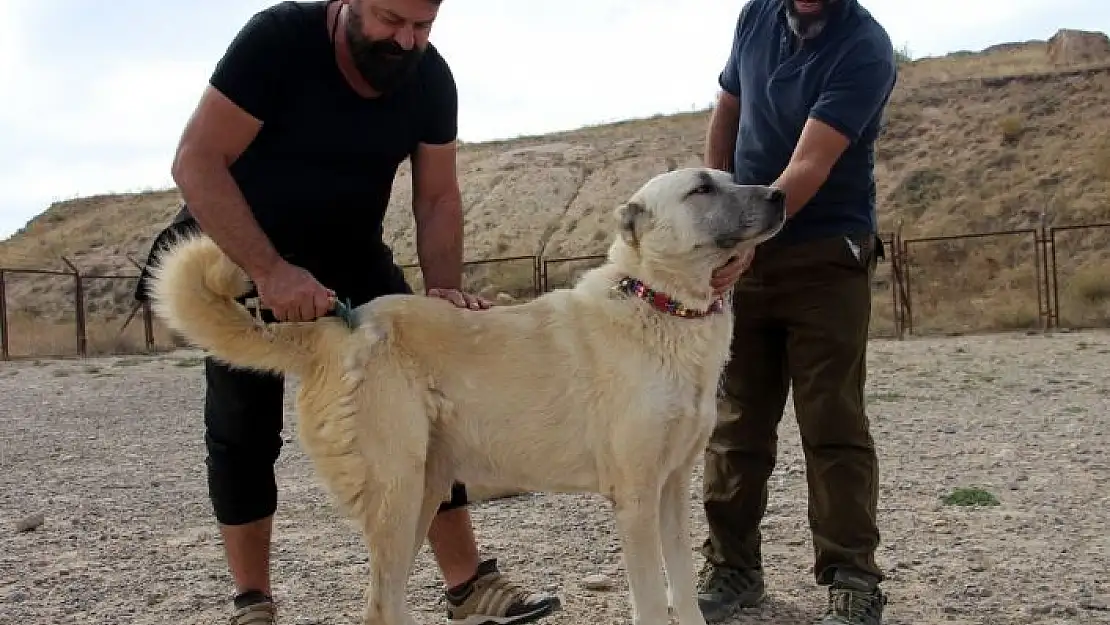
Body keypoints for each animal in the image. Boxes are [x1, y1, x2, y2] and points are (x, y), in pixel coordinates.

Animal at [147, 167, 785, 625]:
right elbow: (653, 602)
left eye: (729, 177)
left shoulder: (671, 490)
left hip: (422, 492)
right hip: (398, 493)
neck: (662, 304)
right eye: (702, 188)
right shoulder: (634, 497)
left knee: (389, 602)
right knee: (378, 607)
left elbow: (684, 595)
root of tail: (341, 326)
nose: (780, 193)